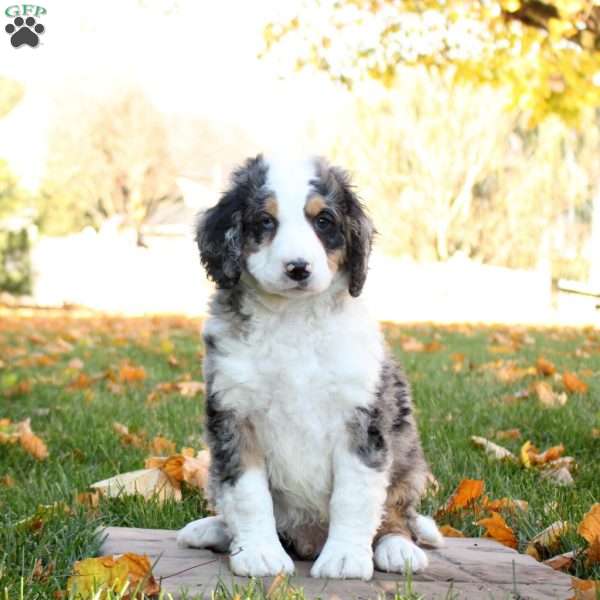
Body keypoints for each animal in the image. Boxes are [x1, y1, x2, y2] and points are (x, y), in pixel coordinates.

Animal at [176, 156, 442, 580]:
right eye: (265, 221)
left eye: (324, 221)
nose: (298, 268)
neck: (294, 319)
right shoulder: (234, 415)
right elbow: (248, 494)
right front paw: (259, 554)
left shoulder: (362, 421)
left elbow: (354, 496)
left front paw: (345, 559)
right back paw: (212, 530)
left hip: (407, 458)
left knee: (397, 513)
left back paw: (398, 548)